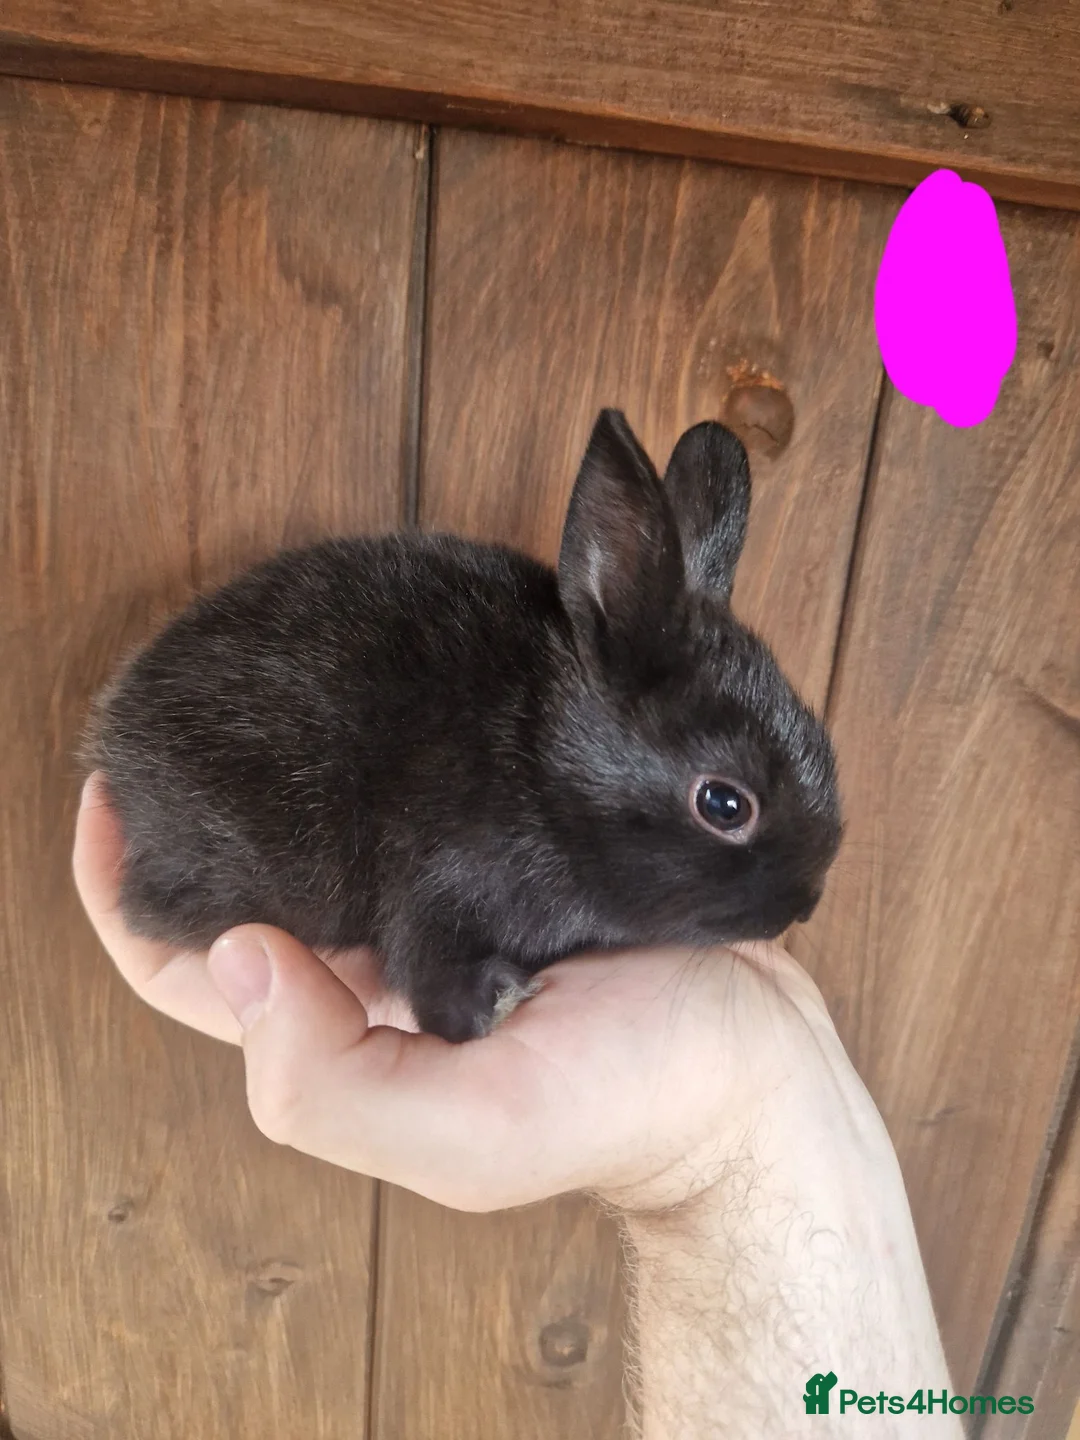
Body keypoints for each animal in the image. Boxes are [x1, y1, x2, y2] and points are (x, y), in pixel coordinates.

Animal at [81, 409, 842, 1043]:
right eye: (724, 804)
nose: (804, 907)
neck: (541, 760)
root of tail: (113, 733)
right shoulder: (442, 879)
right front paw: (491, 1005)